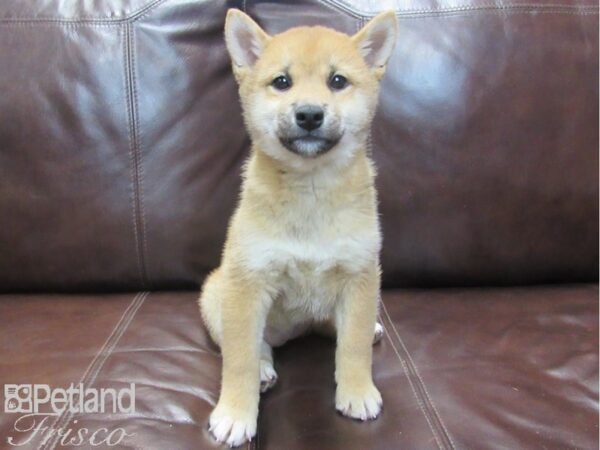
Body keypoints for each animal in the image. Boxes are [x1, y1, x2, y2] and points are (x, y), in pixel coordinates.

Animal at [200, 7, 398, 446]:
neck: (311, 190)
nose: (309, 114)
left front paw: (357, 392)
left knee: (340, 329)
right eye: (282, 82)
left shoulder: (360, 275)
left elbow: (353, 346)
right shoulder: (248, 281)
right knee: (251, 345)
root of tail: (295, 329)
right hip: (217, 293)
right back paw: (263, 369)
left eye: (337, 81)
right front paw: (235, 414)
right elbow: (238, 359)